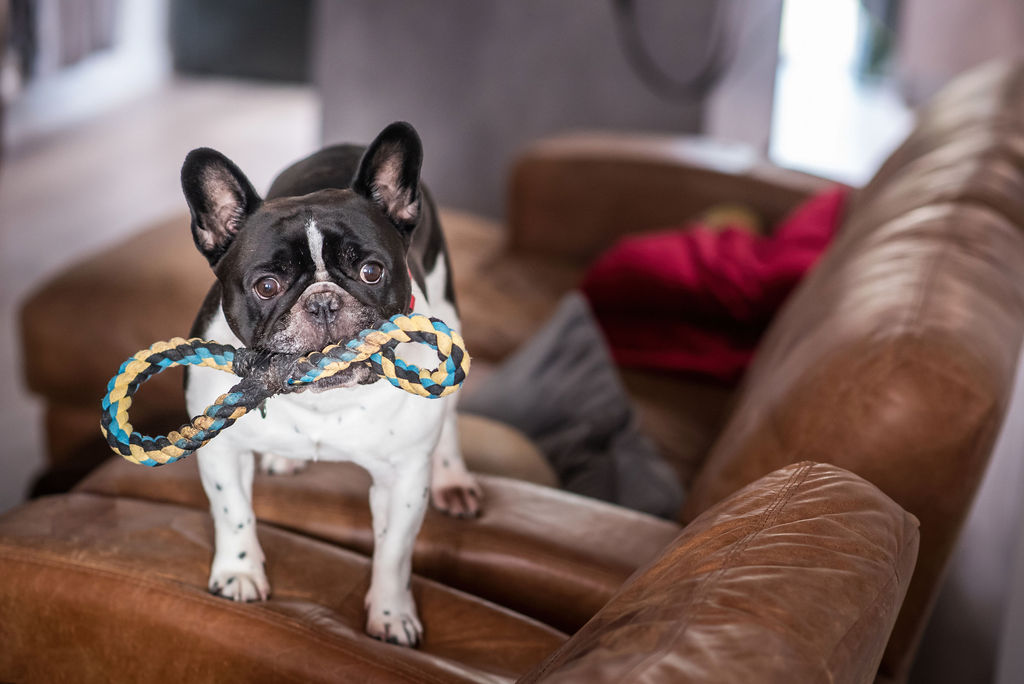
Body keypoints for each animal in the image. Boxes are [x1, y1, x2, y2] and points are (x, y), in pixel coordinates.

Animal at [179, 121, 479, 647]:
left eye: (371, 271)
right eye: (267, 286)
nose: (322, 302)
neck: (322, 400)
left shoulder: (403, 479)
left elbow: (395, 553)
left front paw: (390, 615)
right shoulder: (222, 451)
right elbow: (233, 510)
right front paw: (239, 573)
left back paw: (453, 476)